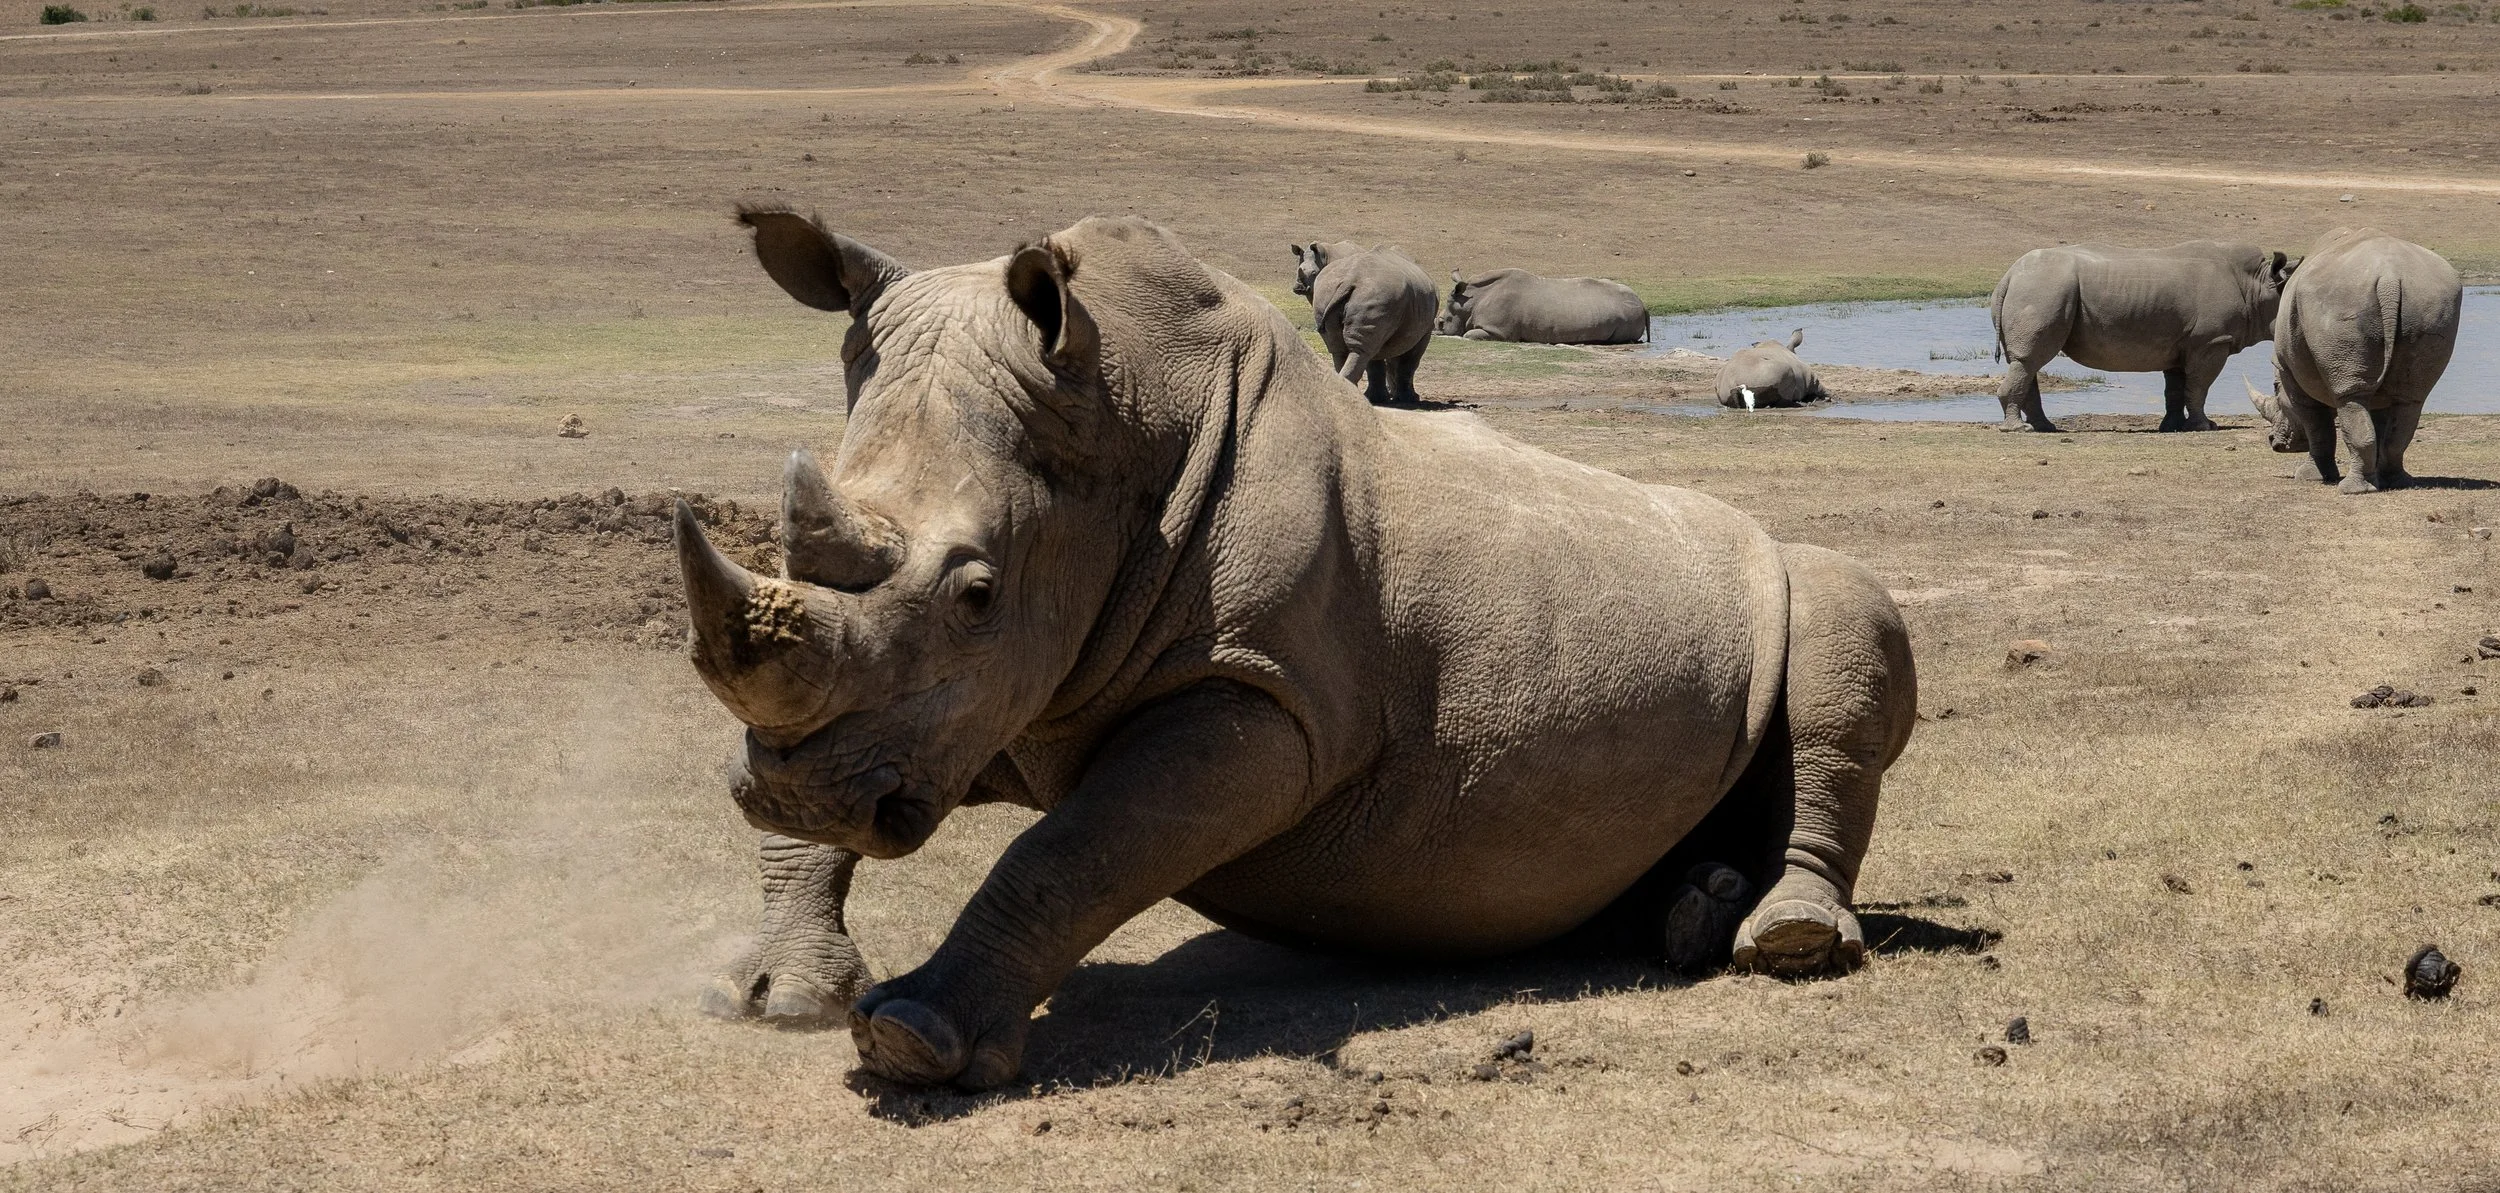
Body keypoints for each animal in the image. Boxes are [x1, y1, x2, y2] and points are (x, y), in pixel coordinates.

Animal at [1291, 240, 1436, 404]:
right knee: (1362, 351)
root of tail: (1349, 280)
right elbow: (1408, 363)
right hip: (1377, 295)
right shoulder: (1424, 330)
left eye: (1314, 273)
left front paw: (1392, 397)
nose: (1299, 288)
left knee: (1344, 348)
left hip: (1330, 293)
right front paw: (1409, 398)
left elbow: (1382, 362)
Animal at [1436, 268, 1649, 344]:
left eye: (1442, 323)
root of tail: (1643, 303)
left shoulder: (1498, 331)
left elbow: (1468, 335)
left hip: (1628, 314)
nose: (1436, 327)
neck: (1471, 300)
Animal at [1991, 241, 2295, 433]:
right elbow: (2199, 385)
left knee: (2026, 363)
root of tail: (2008, 276)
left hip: (2036, 289)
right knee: (2030, 360)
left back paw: (2045, 428)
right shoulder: (2211, 341)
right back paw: (2020, 429)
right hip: (2043, 289)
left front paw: (2172, 427)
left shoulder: (2181, 343)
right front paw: (2204, 426)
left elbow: (2176, 388)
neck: (2256, 285)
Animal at [2247, 227, 2462, 494]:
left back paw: (2352, 490)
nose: (2273, 442)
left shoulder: (2288, 370)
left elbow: (2316, 425)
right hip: (2430, 298)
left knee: (2350, 397)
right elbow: (2377, 419)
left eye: (2275, 389)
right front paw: (2378, 477)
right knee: (2409, 399)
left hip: (2338, 303)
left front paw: (2309, 477)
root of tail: (2390, 279)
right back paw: (2397, 482)